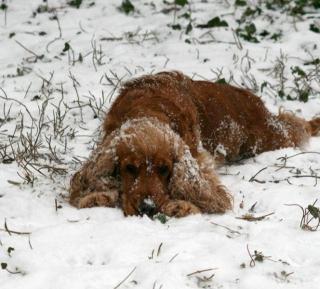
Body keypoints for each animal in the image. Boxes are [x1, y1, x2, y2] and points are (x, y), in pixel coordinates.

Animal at [69, 71, 320, 217]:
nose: (147, 208)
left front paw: (181, 205)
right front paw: (97, 197)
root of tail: (253, 99)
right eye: (129, 168)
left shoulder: (197, 158)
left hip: (269, 136)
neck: (149, 109)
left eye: (165, 169)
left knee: (295, 125)